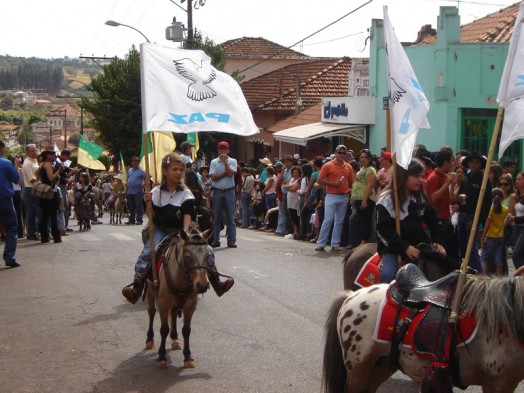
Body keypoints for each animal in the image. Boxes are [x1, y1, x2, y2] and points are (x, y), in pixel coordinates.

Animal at [143, 224, 213, 368]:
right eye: (188, 256)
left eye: (208, 254)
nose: (202, 285)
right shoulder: (163, 303)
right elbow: (164, 329)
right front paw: (162, 356)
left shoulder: (191, 305)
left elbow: (186, 330)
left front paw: (188, 357)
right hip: (150, 292)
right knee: (151, 312)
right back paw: (149, 340)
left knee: (174, 313)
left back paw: (175, 339)